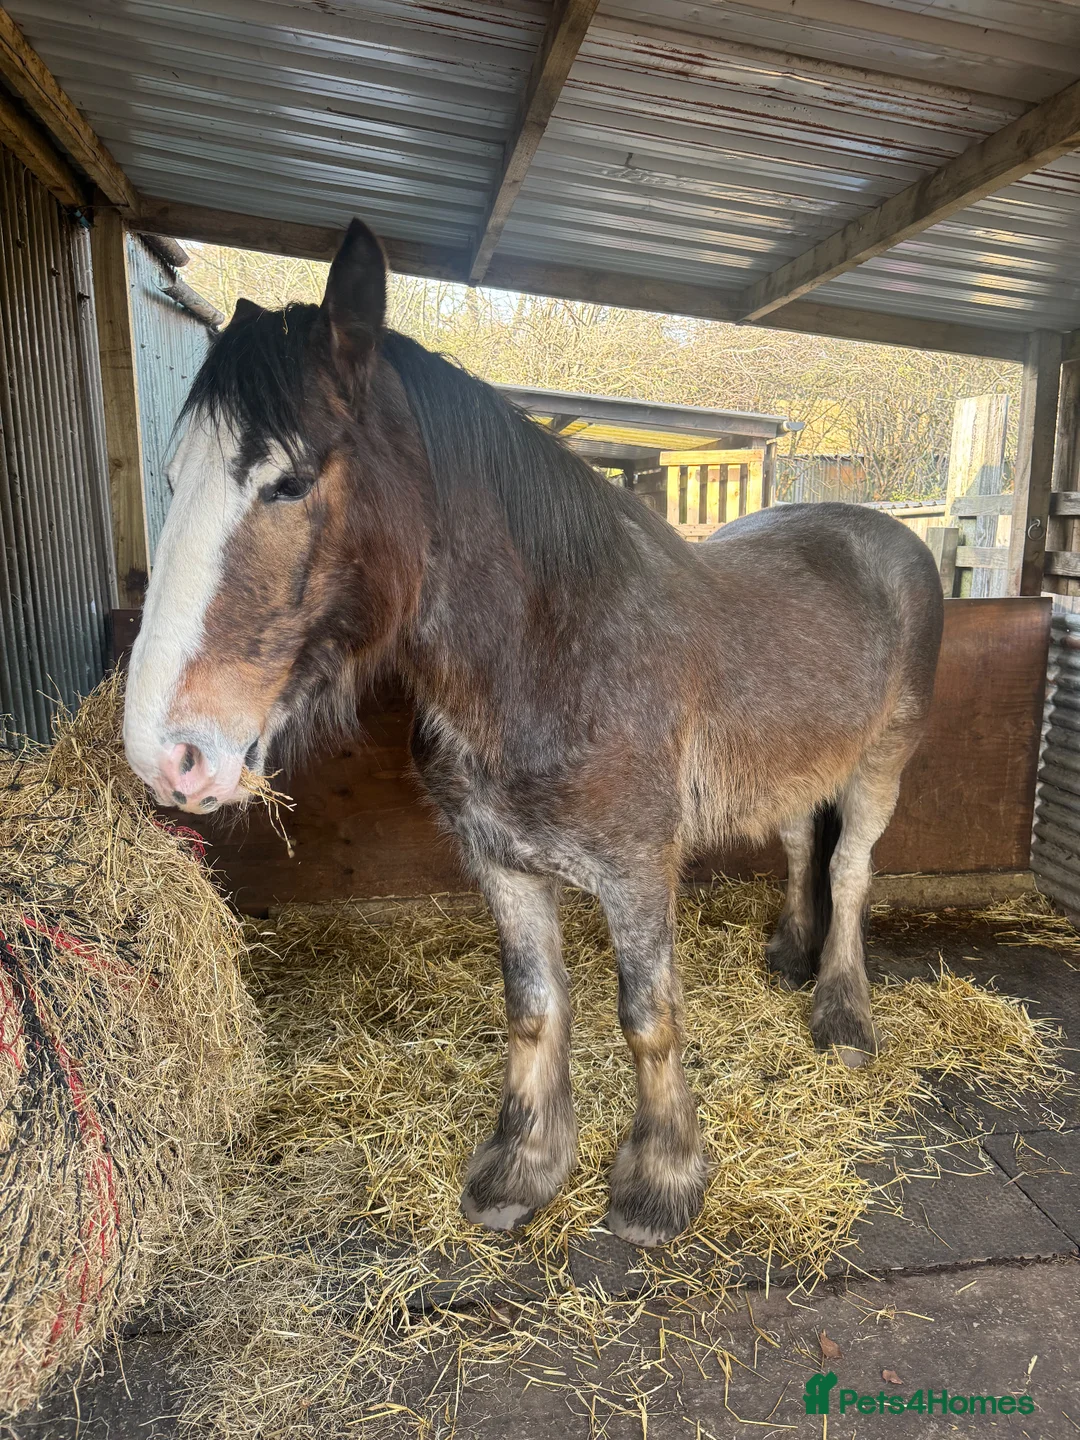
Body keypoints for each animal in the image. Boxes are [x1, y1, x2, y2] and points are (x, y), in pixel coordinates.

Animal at [123, 219, 944, 1247]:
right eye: (170, 479)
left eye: (289, 481)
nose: (168, 754)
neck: (551, 651)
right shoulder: (503, 867)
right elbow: (534, 1010)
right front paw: (524, 1166)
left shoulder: (638, 870)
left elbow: (649, 1018)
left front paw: (659, 1184)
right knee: (800, 840)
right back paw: (792, 957)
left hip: (883, 763)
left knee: (851, 868)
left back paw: (842, 1018)